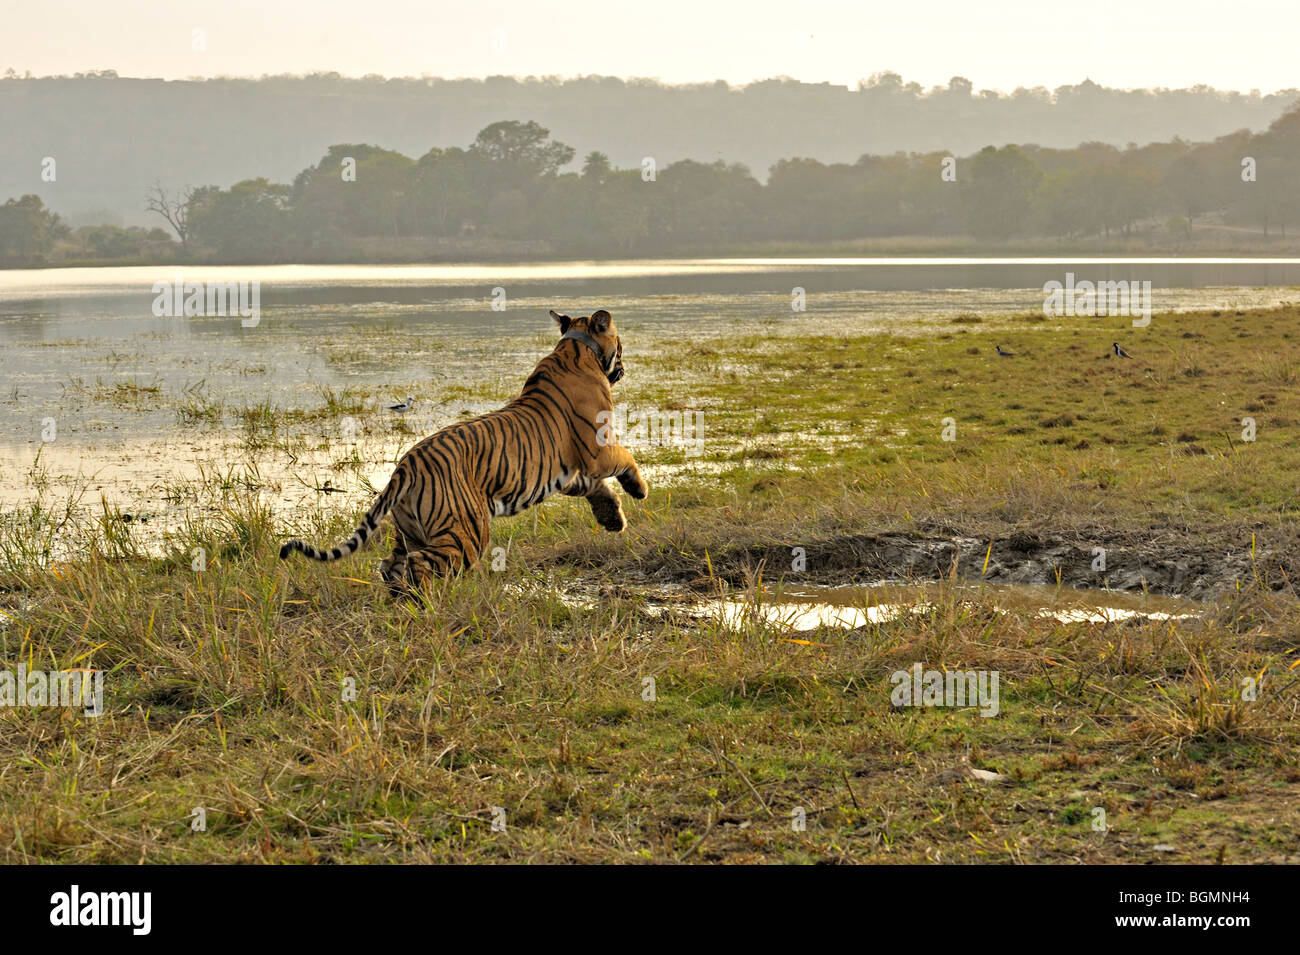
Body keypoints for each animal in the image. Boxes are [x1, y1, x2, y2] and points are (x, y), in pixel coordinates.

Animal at [278, 310, 644, 595]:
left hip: (410, 531)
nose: (624, 368)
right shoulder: (597, 450)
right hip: (465, 532)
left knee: (390, 564)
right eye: (620, 345)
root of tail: (405, 465)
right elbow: (626, 459)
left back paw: (401, 604)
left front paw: (613, 518)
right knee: (419, 564)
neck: (576, 348)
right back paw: (422, 605)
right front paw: (639, 489)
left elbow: (594, 487)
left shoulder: (566, 472)